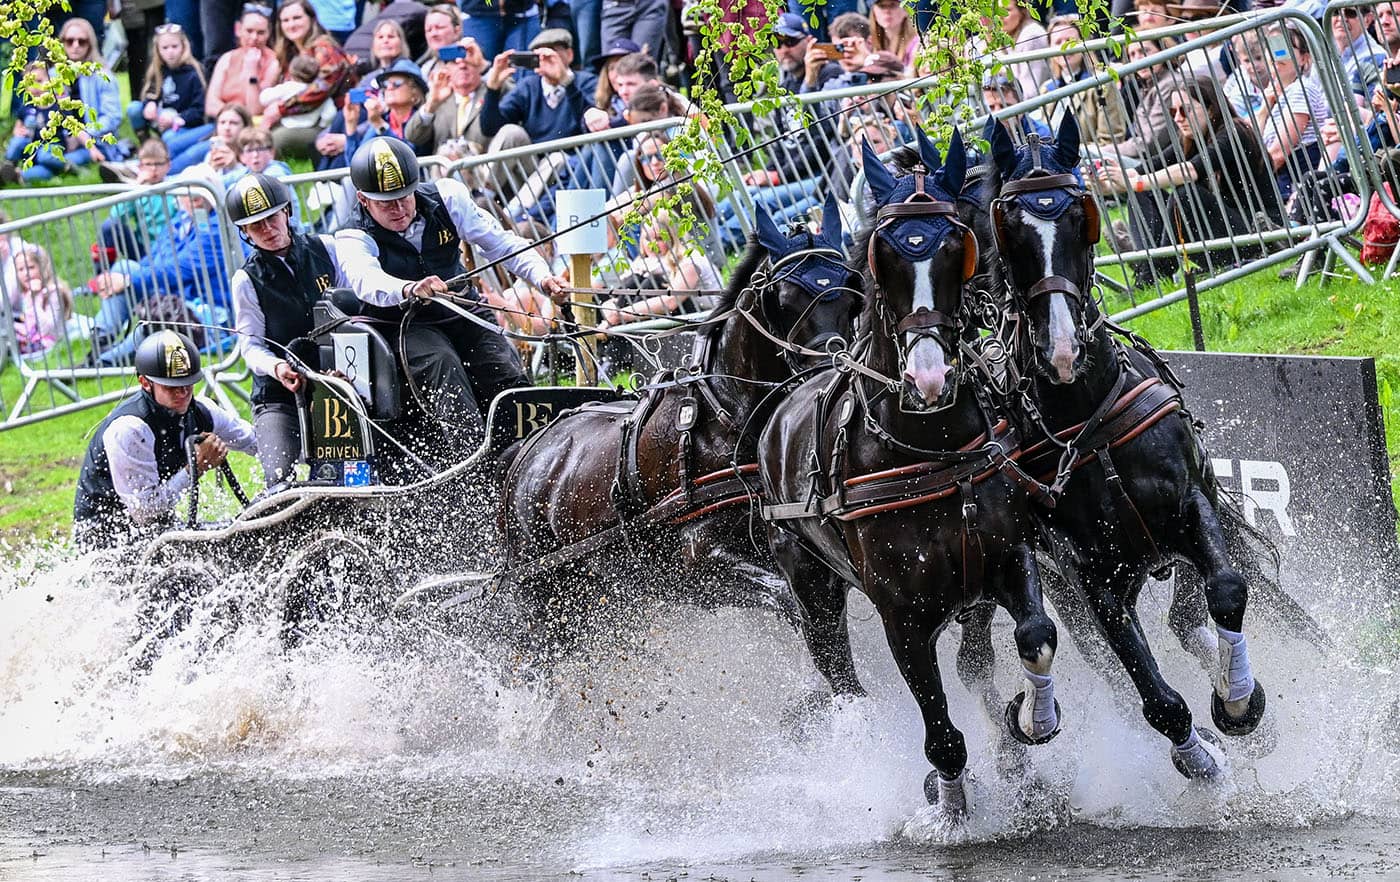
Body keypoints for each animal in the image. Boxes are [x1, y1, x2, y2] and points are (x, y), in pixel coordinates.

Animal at [498, 198, 856, 644]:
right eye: (786, 296)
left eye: (851, 290)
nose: (832, 371)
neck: (726, 419)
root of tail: (526, 451)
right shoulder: (700, 560)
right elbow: (791, 602)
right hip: (545, 599)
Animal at [761, 131, 1064, 823]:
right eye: (885, 255)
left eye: (958, 245)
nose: (929, 376)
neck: (929, 448)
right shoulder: (901, 615)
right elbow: (941, 733)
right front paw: (947, 806)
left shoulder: (1006, 556)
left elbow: (1035, 635)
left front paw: (1031, 722)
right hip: (813, 587)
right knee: (841, 674)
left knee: (976, 659)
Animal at [980, 115, 1276, 778]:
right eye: (1008, 227)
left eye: (1078, 215)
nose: (1063, 349)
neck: (1090, 424)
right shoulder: (1093, 579)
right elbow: (1153, 696)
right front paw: (1200, 759)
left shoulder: (1193, 505)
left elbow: (1226, 591)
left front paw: (1238, 702)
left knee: (1190, 616)